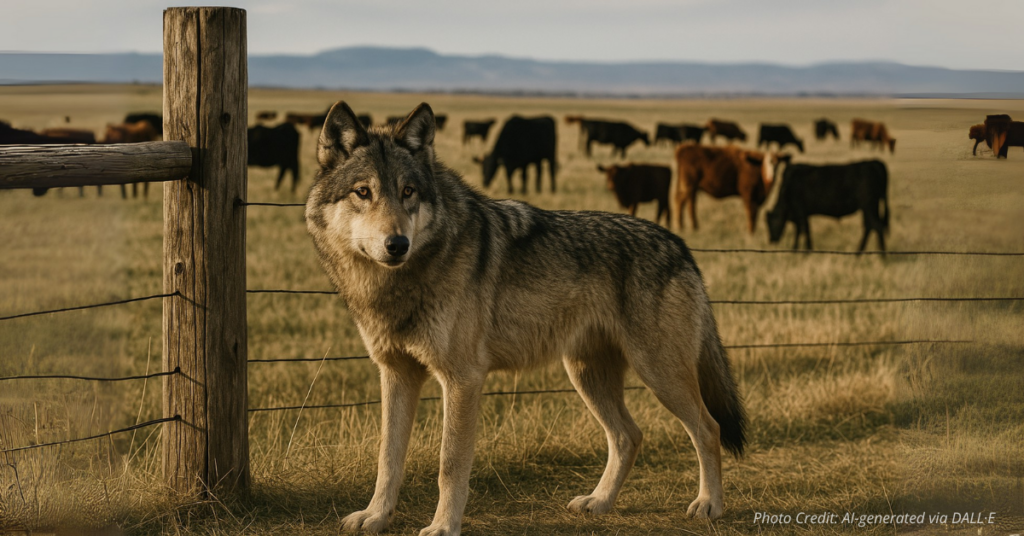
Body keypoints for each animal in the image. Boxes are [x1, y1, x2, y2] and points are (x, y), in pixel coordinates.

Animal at [305, 101, 747, 536]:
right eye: (363, 192)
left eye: (408, 192)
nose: (397, 244)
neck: (399, 283)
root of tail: (680, 245)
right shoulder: (396, 373)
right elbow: (388, 458)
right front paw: (376, 516)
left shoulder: (463, 379)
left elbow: (450, 465)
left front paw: (444, 526)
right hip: (588, 375)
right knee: (628, 436)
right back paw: (600, 501)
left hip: (658, 374)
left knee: (708, 429)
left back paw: (709, 505)